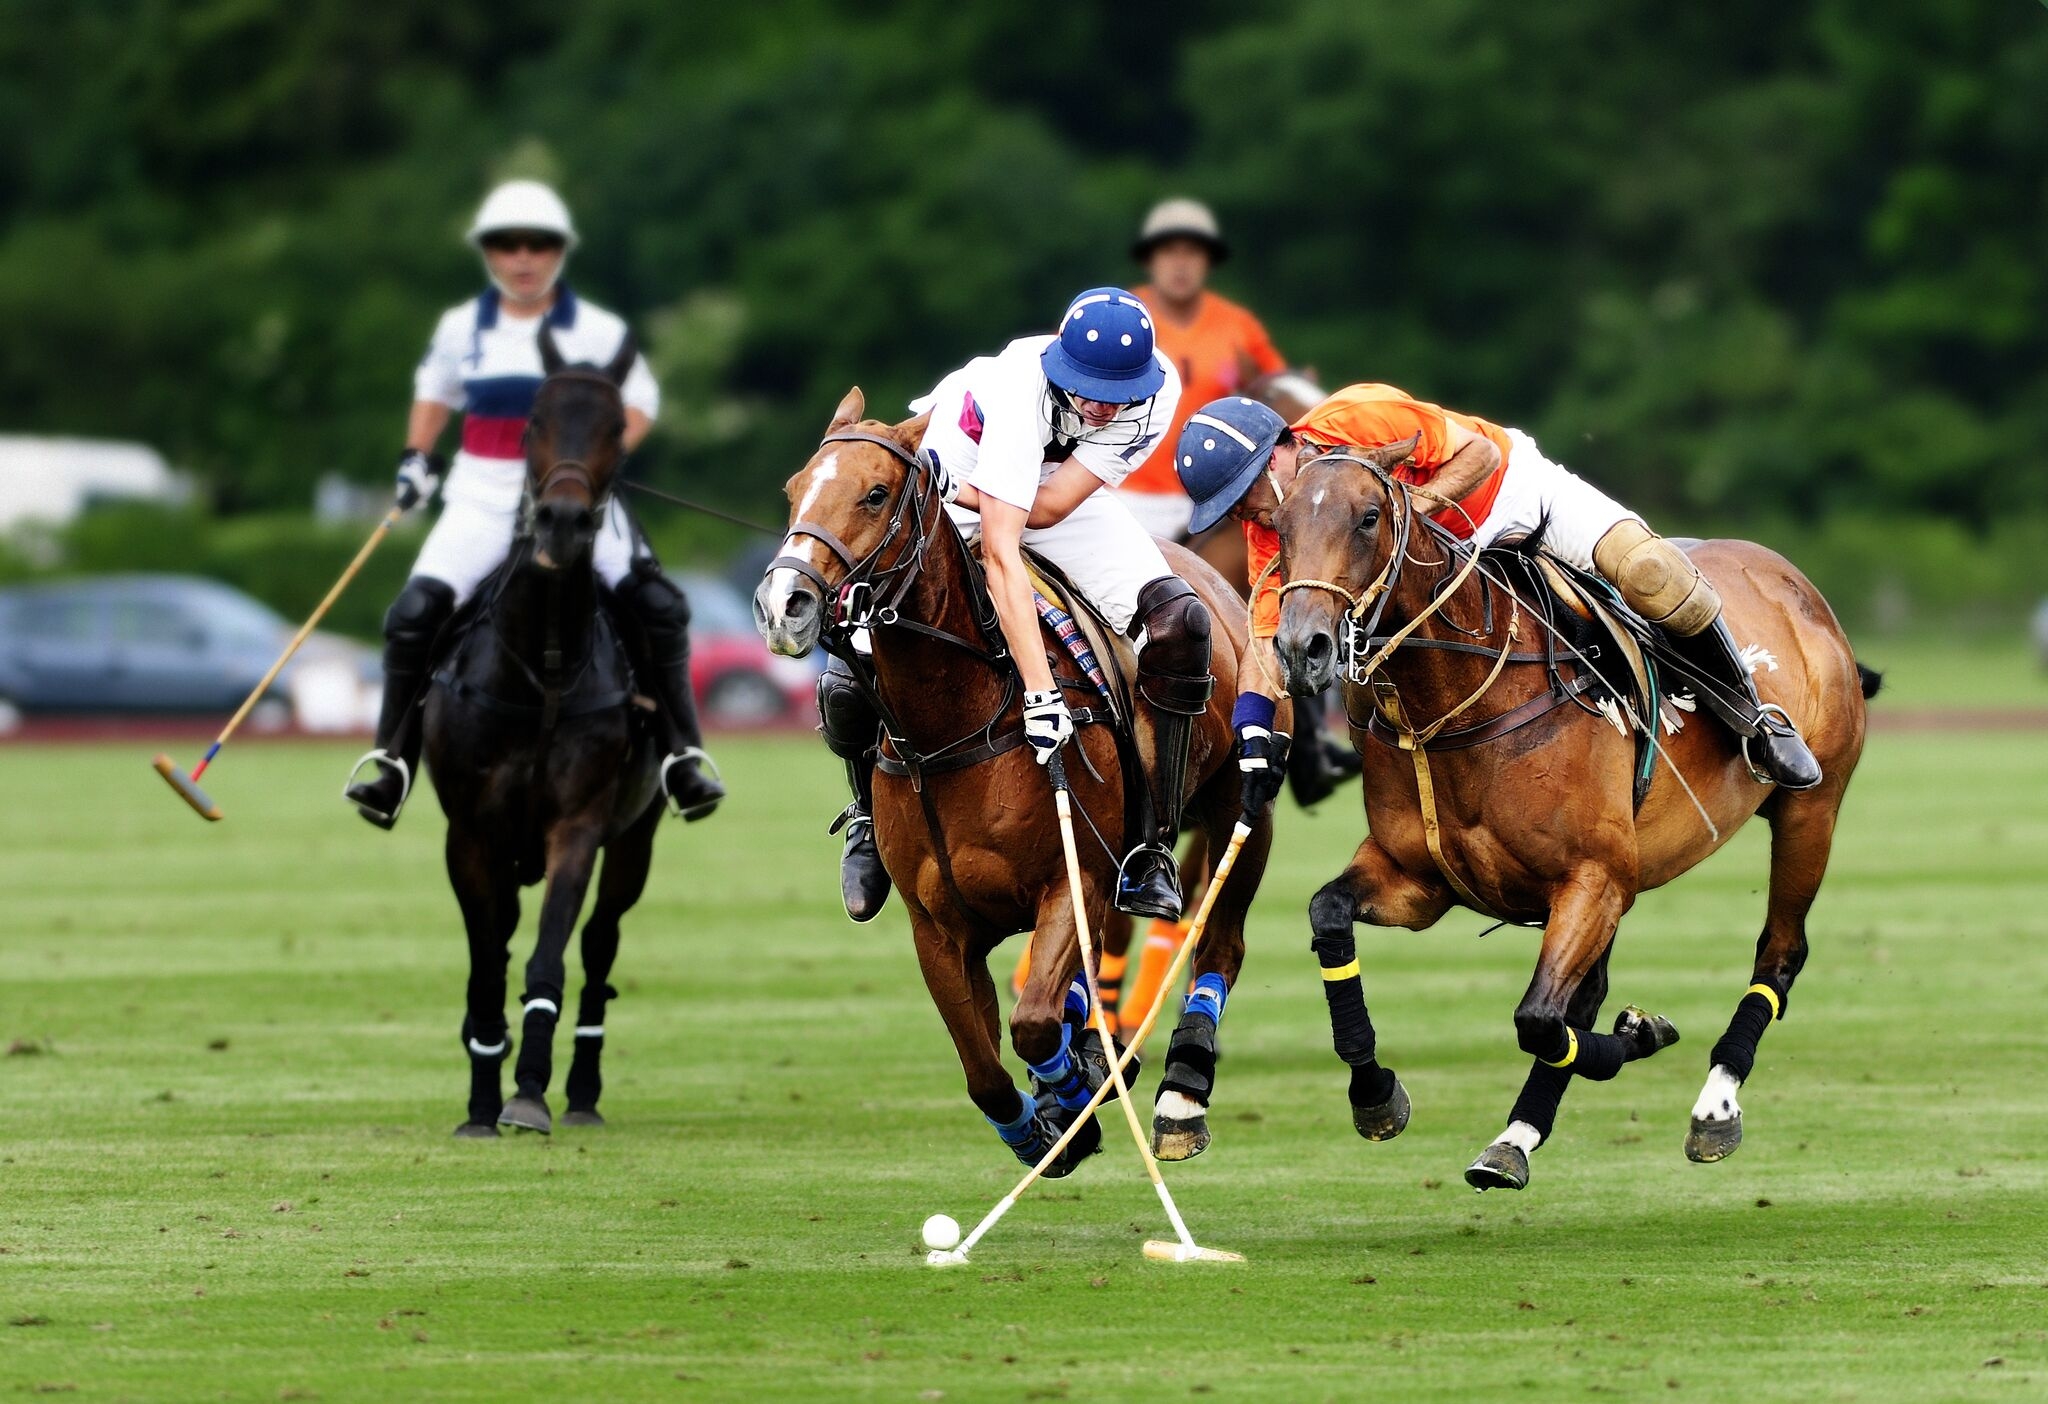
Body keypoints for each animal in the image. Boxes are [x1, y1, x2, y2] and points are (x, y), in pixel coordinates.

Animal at [428, 333, 659, 1146]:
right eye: (532, 420)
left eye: (618, 427)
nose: (561, 520)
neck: (544, 669)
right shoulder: (469, 834)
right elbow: (486, 964)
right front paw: (480, 1100)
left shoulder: (578, 827)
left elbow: (548, 958)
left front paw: (527, 1092)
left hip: (637, 838)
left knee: (598, 944)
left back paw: (581, 1089)